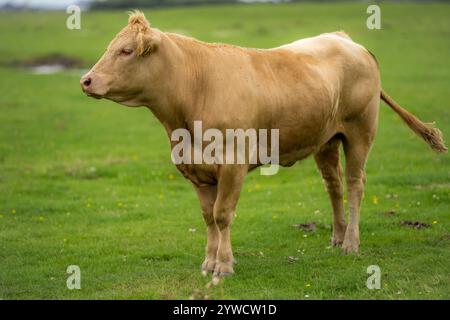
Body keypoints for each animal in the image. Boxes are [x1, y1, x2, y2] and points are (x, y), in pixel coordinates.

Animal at [80, 11, 446, 278]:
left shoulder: (233, 165)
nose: (86, 80)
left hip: (360, 131)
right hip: (326, 140)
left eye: (126, 51)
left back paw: (351, 244)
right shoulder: (196, 170)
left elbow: (223, 214)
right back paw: (337, 237)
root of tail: (345, 40)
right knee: (334, 186)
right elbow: (208, 217)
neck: (193, 92)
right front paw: (208, 262)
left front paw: (223, 265)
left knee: (356, 184)